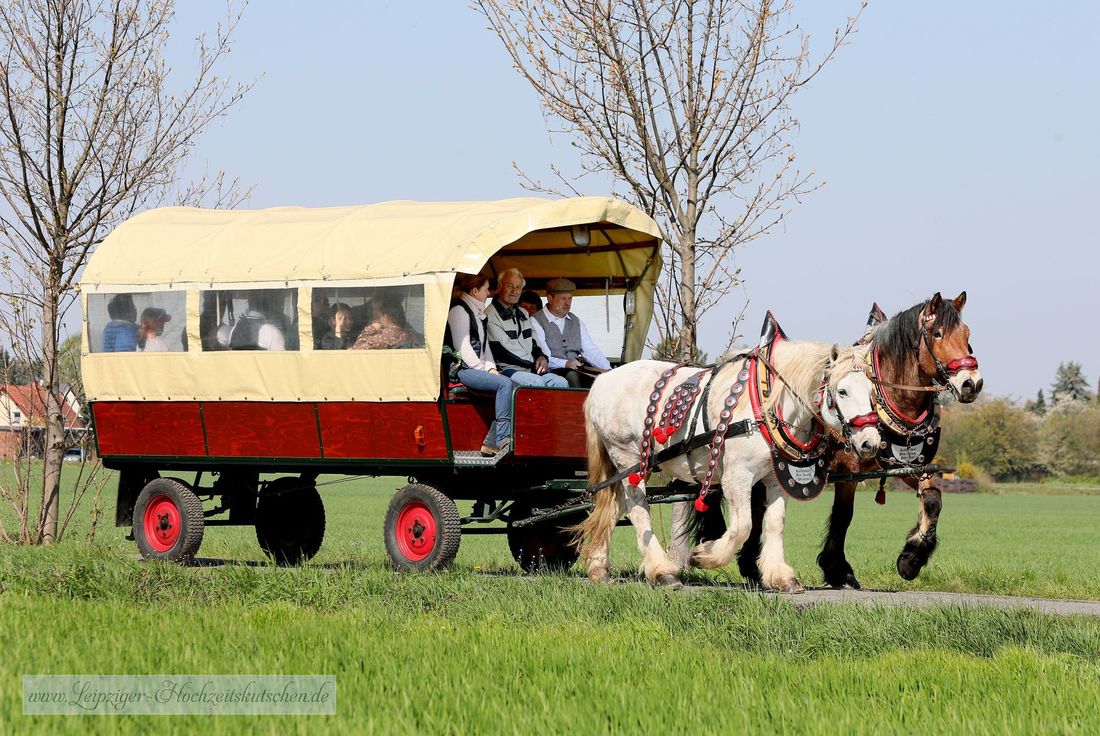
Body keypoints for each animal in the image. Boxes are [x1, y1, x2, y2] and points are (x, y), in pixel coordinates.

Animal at [572, 338, 880, 589]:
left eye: (872, 391)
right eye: (842, 391)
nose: (871, 442)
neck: (765, 407)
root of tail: (603, 380)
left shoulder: (776, 478)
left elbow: (775, 523)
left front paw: (780, 576)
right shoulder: (737, 476)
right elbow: (743, 525)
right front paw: (705, 556)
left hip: (632, 467)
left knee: (612, 506)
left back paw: (599, 567)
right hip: (627, 456)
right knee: (637, 508)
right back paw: (662, 571)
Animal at [668, 290, 981, 585]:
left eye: (967, 335)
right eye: (937, 333)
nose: (972, 383)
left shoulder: (904, 465)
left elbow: (933, 498)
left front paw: (911, 559)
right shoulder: (848, 469)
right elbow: (843, 516)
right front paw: (838, 569)